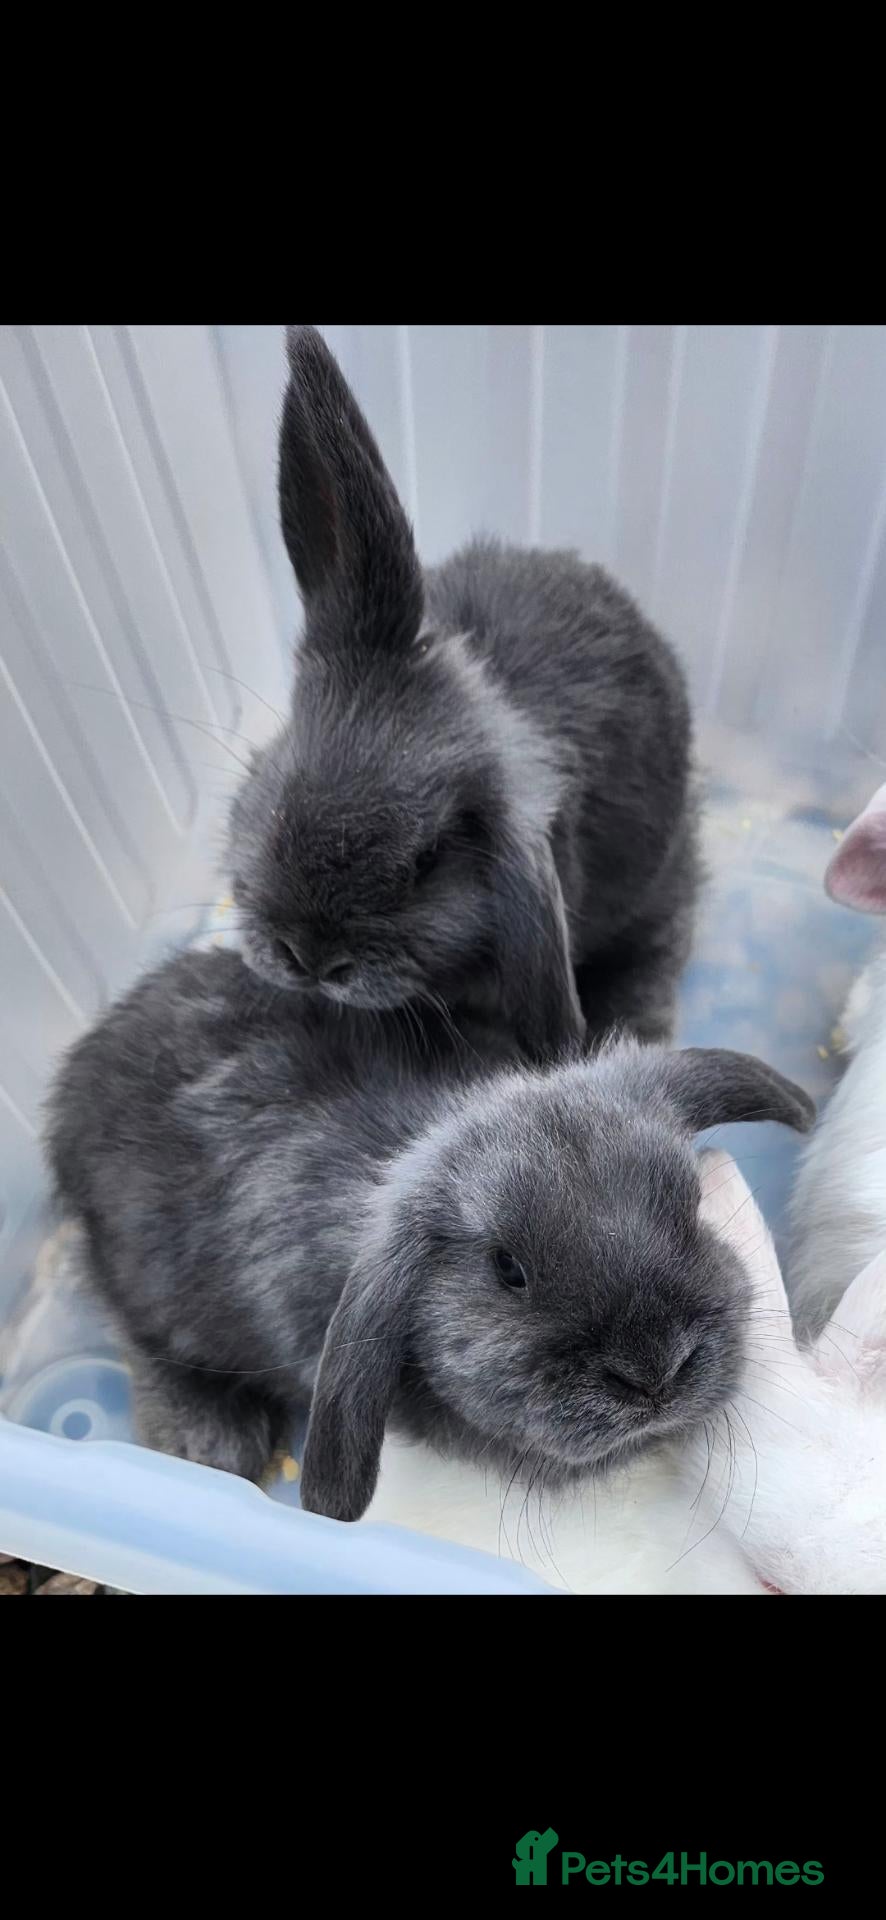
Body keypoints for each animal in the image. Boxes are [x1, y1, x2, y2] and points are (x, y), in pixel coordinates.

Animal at [45, 945, 813, 1522]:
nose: (656, 1372)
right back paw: (209, 1438)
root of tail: (81, 1066)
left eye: (687, 1205)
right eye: (507, 1269)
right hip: (140, 1278)